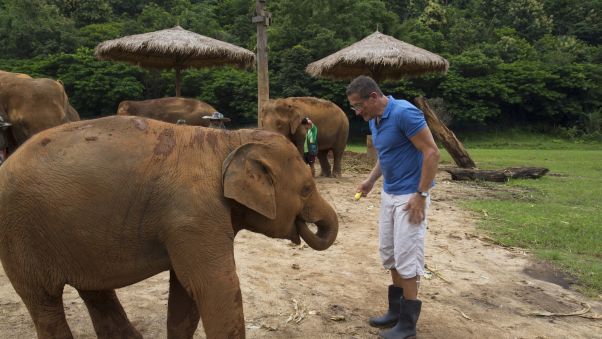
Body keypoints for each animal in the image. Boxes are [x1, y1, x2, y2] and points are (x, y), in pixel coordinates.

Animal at [0, 115, 338, 338]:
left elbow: (185, 293)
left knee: (93, 290)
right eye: (306, 189)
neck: (228, 141)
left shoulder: (187, 222)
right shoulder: (195, 214)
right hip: (18, 236)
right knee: (45, 302)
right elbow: (213, 285)